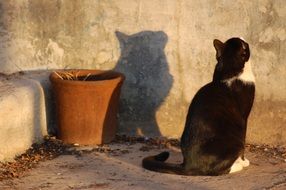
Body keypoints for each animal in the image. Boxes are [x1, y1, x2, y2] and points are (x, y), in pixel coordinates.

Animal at [142, 37, 256, 176]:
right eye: (245, 45)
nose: (244, 38)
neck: (230, 69)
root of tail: (188, 165)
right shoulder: (244, 118)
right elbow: (244, 141)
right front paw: (244, 161)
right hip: (235, 142)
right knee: (217, 170)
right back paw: (237, 166)